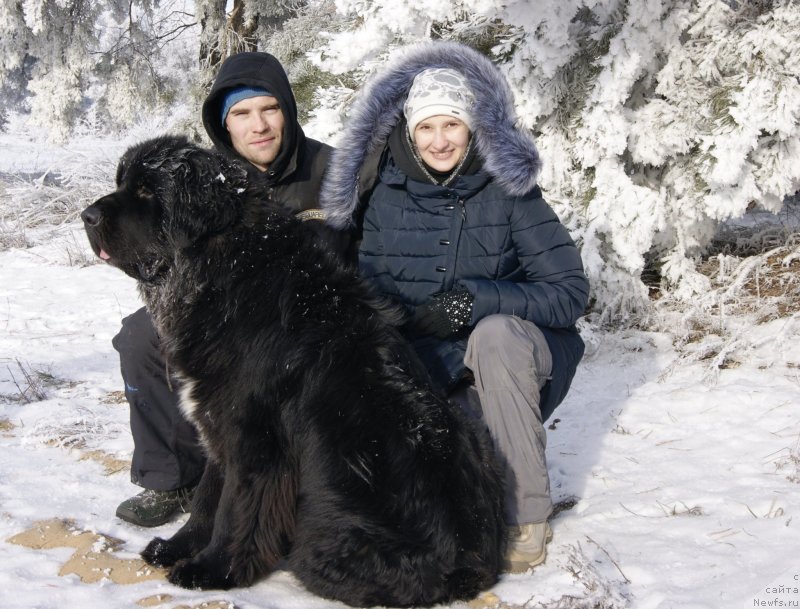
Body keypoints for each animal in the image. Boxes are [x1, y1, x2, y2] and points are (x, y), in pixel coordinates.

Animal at [81, 135, 506, 604]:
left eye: (146, 191)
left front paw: (211, 569)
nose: (87, 216)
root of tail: (469, 565)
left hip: (320, 534)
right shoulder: (216, 421)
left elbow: (234, 507)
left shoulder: (253, 436)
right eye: (121, 183)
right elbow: (207, 497)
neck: (226, 270)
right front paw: (177, 548)